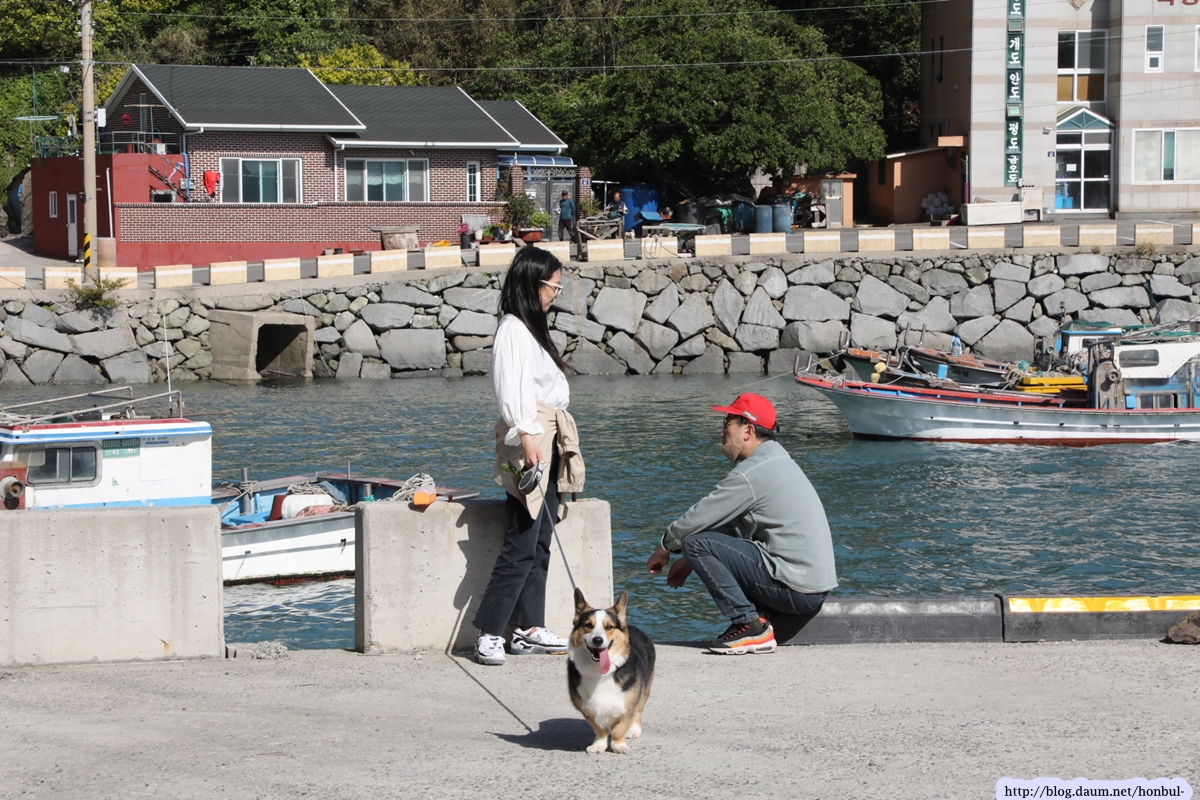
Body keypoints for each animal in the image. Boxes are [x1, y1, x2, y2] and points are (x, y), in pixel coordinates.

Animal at [567, 588, 655, 754]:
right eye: (588, 625)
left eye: (609, 627)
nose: (598, 640)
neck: (600, 673)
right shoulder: (587, 709)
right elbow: (599, 729)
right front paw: (599, 744)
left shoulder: (628, 705)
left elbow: (619, 729)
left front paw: (618, 745)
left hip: (646, 687)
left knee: (639, 710)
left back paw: (634, 730)